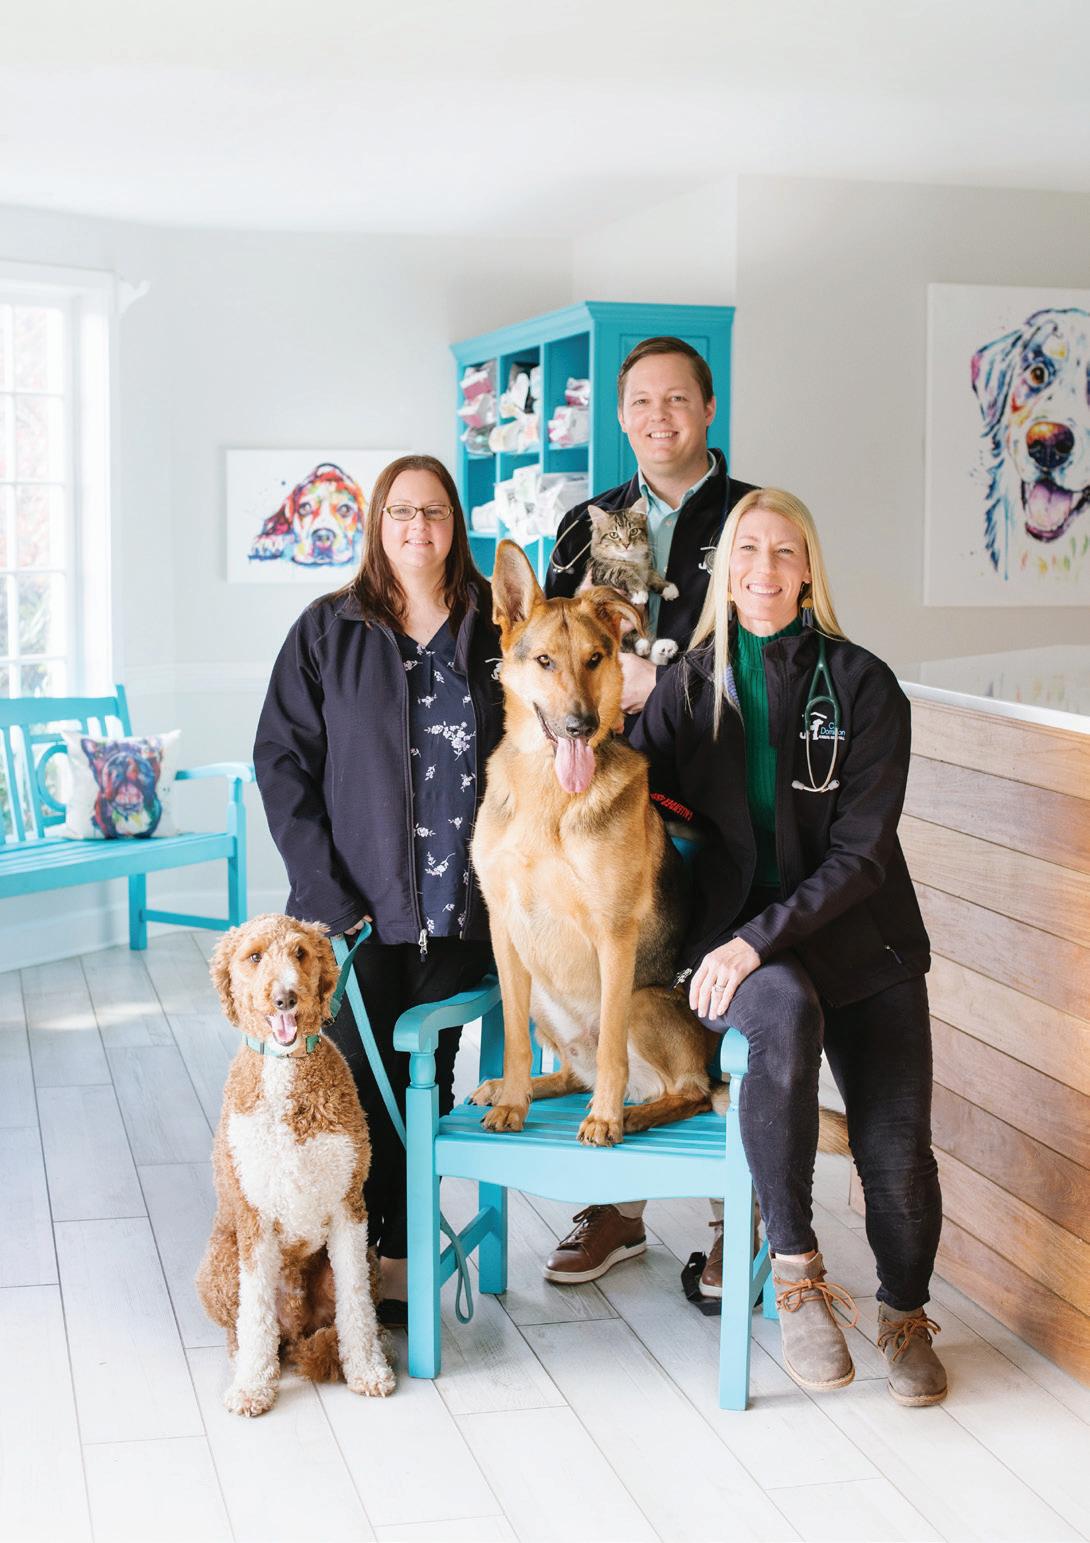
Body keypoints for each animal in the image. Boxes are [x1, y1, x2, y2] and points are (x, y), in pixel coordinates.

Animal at [196, 914, 394, 1416]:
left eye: (301, 953)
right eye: (254, 956)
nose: (285, 997)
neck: (288, 1072)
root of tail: (298, 1328)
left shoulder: (348, 1208)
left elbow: (355, 1305)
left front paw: (367, 1369)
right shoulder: (255, 1220)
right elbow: (255, 1314)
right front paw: (252, 1386)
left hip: (367, 1261)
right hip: (218, 1266)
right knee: (249, 1329)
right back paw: (251, 1362)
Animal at [468, 540, 721, 1147]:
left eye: (595, 659)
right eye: (544, 662)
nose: (581, 726)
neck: (549, 793)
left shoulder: (614, 934)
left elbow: (611, 1052)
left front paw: (605, 1118)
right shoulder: (504, 929)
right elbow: (514, 1043)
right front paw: (512, 1101)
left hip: (641, 1000)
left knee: (688, 1091)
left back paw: (630, 1113)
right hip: (540, 993)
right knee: (570, 1070)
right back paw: (521, 1090)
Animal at [587, 497, 680, 666]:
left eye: (633, 531)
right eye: (613, 535)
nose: (626, 544)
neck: (631, 560)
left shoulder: (646, 568)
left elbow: (652, 575)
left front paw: (667, 587)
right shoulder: (601, 572)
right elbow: (623, 572)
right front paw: (639, 591)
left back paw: (663, 648)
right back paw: (644, 645)